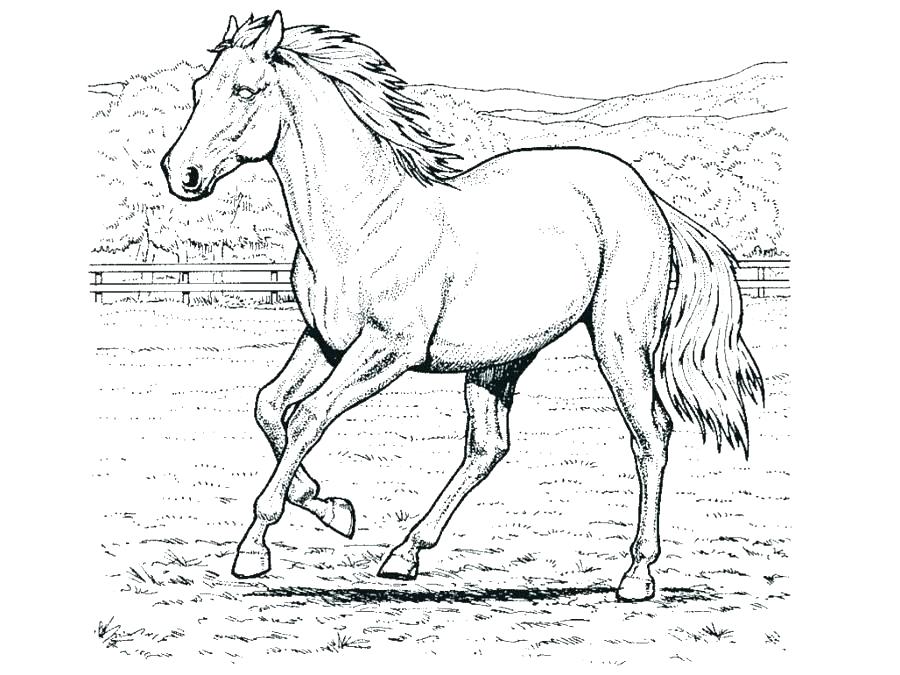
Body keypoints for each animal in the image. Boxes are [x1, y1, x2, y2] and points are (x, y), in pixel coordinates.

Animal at [161, 12, 763, 602]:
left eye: (245, 90)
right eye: (198, 88)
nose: (179, 174)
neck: (365, 223)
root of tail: (648, 196)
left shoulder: (387, 351)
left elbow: (307, 416)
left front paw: (255, 549)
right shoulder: (325, 342)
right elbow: (268, 407)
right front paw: (332, 508)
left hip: (619, 341)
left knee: (650, 435)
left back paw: (636, 575)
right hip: (499, 361)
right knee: (488, 447)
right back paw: (404, 555)